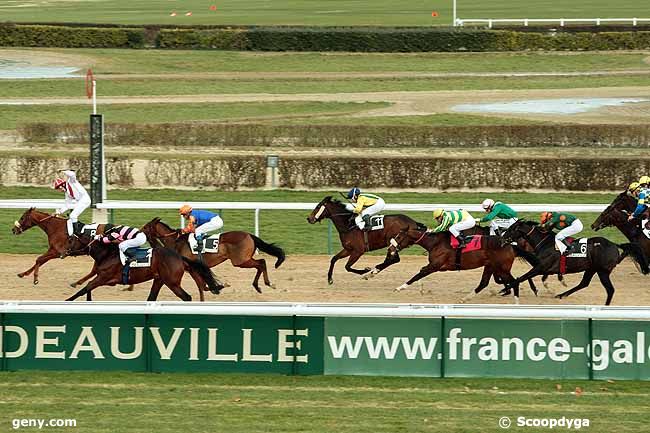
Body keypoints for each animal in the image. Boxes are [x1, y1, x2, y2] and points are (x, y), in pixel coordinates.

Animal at [65, 233, 223, 300]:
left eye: (70, 240)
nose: (64, 252)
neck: (107, 254)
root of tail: (179, 257)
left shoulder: (104, 277)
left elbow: (85, 288)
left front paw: (68, 301)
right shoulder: (102, 278)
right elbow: (88, 289)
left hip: (172, 282)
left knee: (186, 297)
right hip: (159, 280)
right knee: (151, 297)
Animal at [139, 218, 284, 296]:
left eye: (146, 227)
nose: (137, 233)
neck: (175, 241)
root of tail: (249, 235)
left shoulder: (192, 267)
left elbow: (204, 284)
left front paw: (219, 286)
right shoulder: (195, 267)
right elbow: (204, 285)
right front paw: (218, 287)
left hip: (240, 261)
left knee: (261, 263)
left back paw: (266, 284)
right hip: (244, 259)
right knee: (261, 263)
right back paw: (260, 285)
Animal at [384, 228, 528, 302]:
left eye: (399, 237)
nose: (390, 248)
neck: (435, 243)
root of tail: (510, 245)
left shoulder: (435, 266)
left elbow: (419, 274)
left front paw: (400, 288)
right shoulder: (438, 267)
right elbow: (420, 272)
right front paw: (420, 289)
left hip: (502, 268)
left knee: (515, 281)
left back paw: (516, 302)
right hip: (491, 266)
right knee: (484, 283)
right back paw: (465, 298)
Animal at [498, 219, 644, 304]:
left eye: (511, 229)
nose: (502, 239)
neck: (545, 243)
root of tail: (615, 245)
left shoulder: (541, 267)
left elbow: (522, 277)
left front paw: (504, 289)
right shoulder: (543, 268)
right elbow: (527, 277)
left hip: (602, 271)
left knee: (610, 290)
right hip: (591, 269)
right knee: (584, 283)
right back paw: (561, 295)